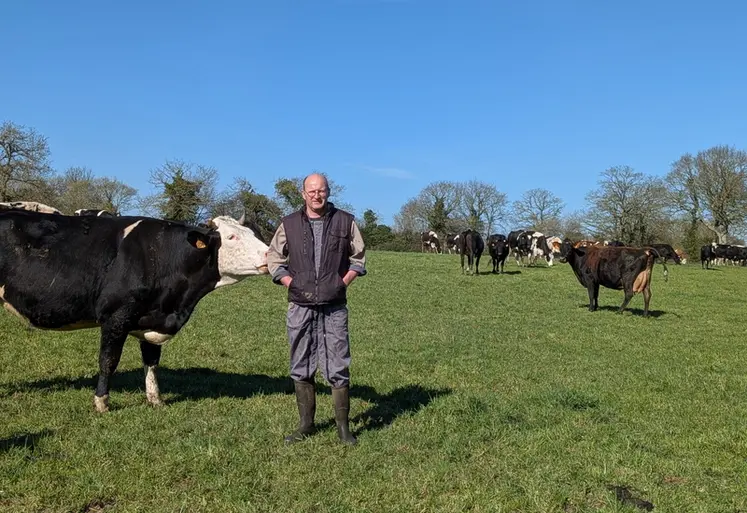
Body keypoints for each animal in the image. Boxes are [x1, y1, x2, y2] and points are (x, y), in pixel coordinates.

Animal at [0, 210, 269, 413]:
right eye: (232, 237)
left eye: (253, 234)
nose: (269, 254)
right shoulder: (116, 317)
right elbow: (108, 361)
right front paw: (101, 403)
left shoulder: (152, 319)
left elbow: (152, 361)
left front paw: (155, 399)